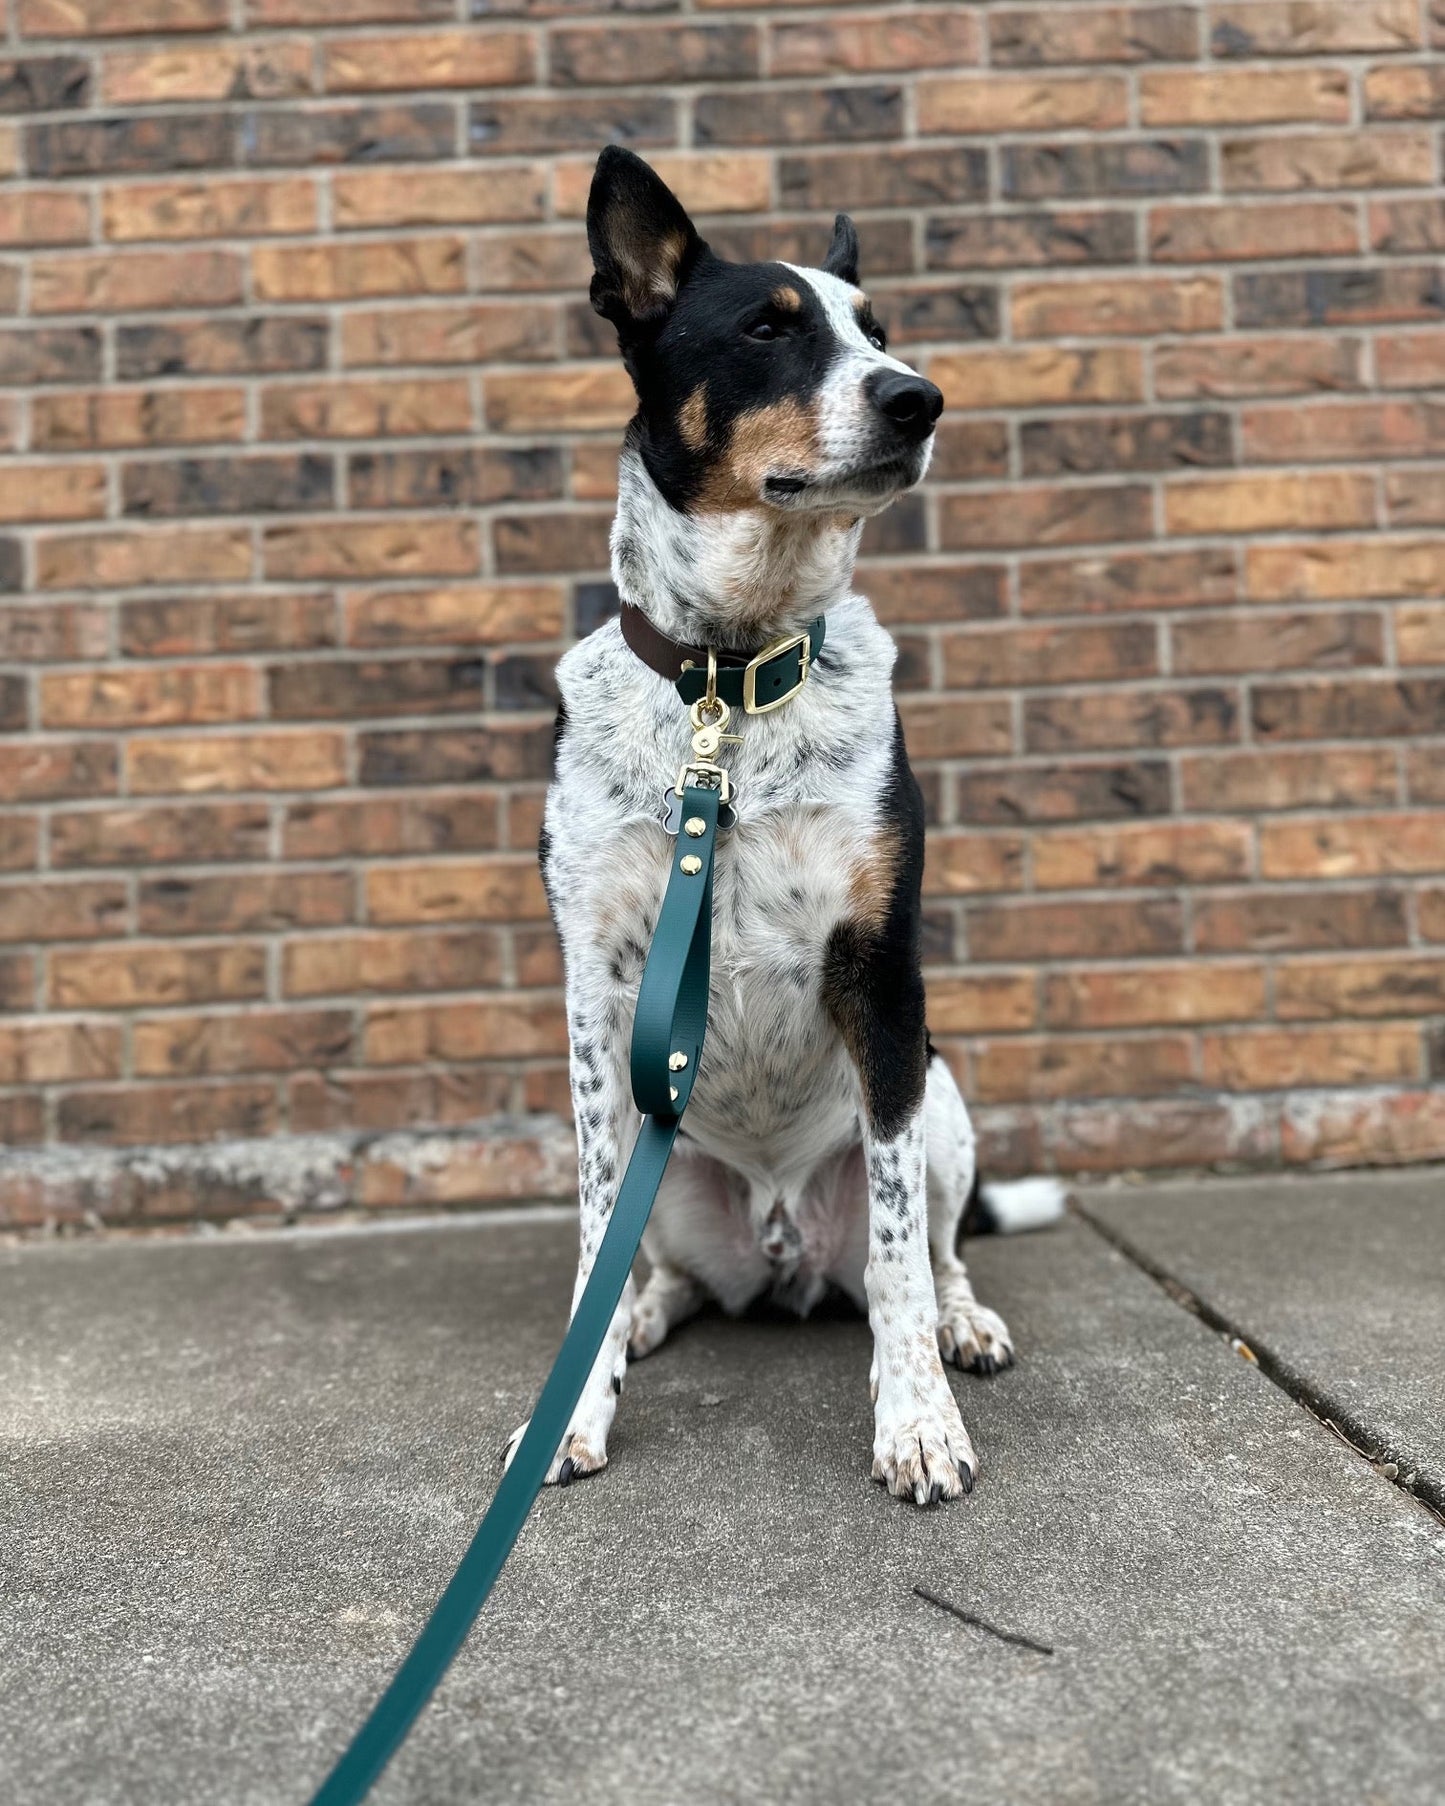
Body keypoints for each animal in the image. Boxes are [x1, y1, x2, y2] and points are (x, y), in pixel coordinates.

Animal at [505, 148, 1062, 1509]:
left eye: (880, 331)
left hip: (943, 1096)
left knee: (928, 1247)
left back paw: (962, 1324)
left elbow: (902, 1247)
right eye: (767, 329)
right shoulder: (597, 990)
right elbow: (594, 1229)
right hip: (667, 1159)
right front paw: (573, 1406)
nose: (919, 399)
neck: (728, 676)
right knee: (658, 1267)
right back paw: (646, 1317)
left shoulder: (881, 973)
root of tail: (776, 1248)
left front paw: (916, 1423)